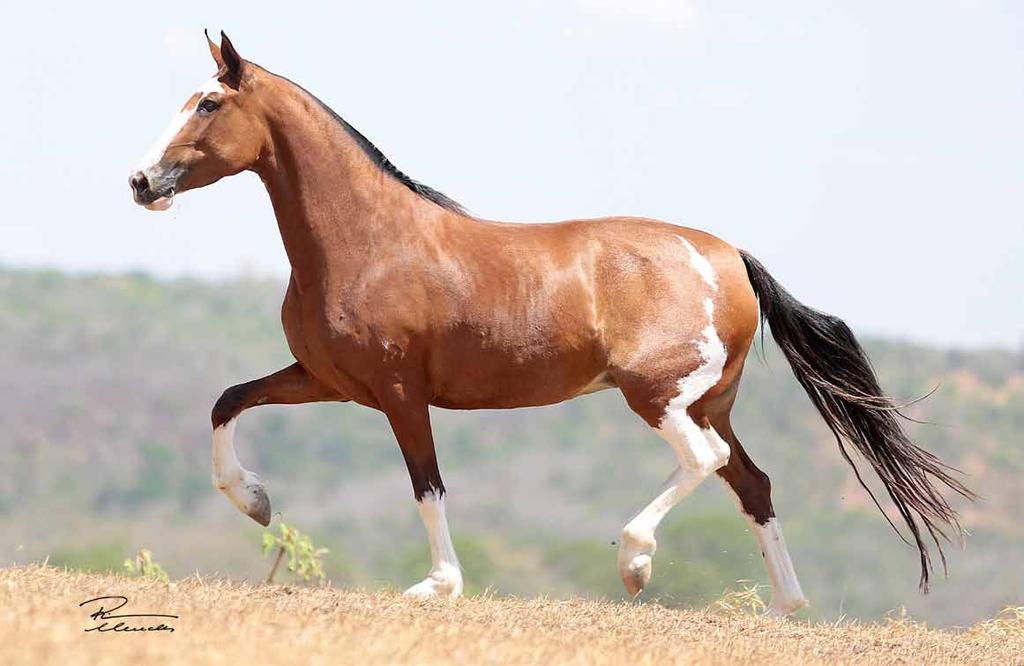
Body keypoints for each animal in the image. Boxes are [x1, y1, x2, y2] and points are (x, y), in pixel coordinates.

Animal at [128, 31, 966, 610]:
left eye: (208, 103)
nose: (140, 181)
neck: (369, 240)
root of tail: (726, 255)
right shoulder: (328, 379)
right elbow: (228, 402)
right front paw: (256, 502)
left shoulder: (399, 393)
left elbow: (427, 485)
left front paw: (438, 585)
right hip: (710, 402)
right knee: (750, 481)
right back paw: (787, 605)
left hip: (658, 396)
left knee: (706, 461)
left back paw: (636, 562)